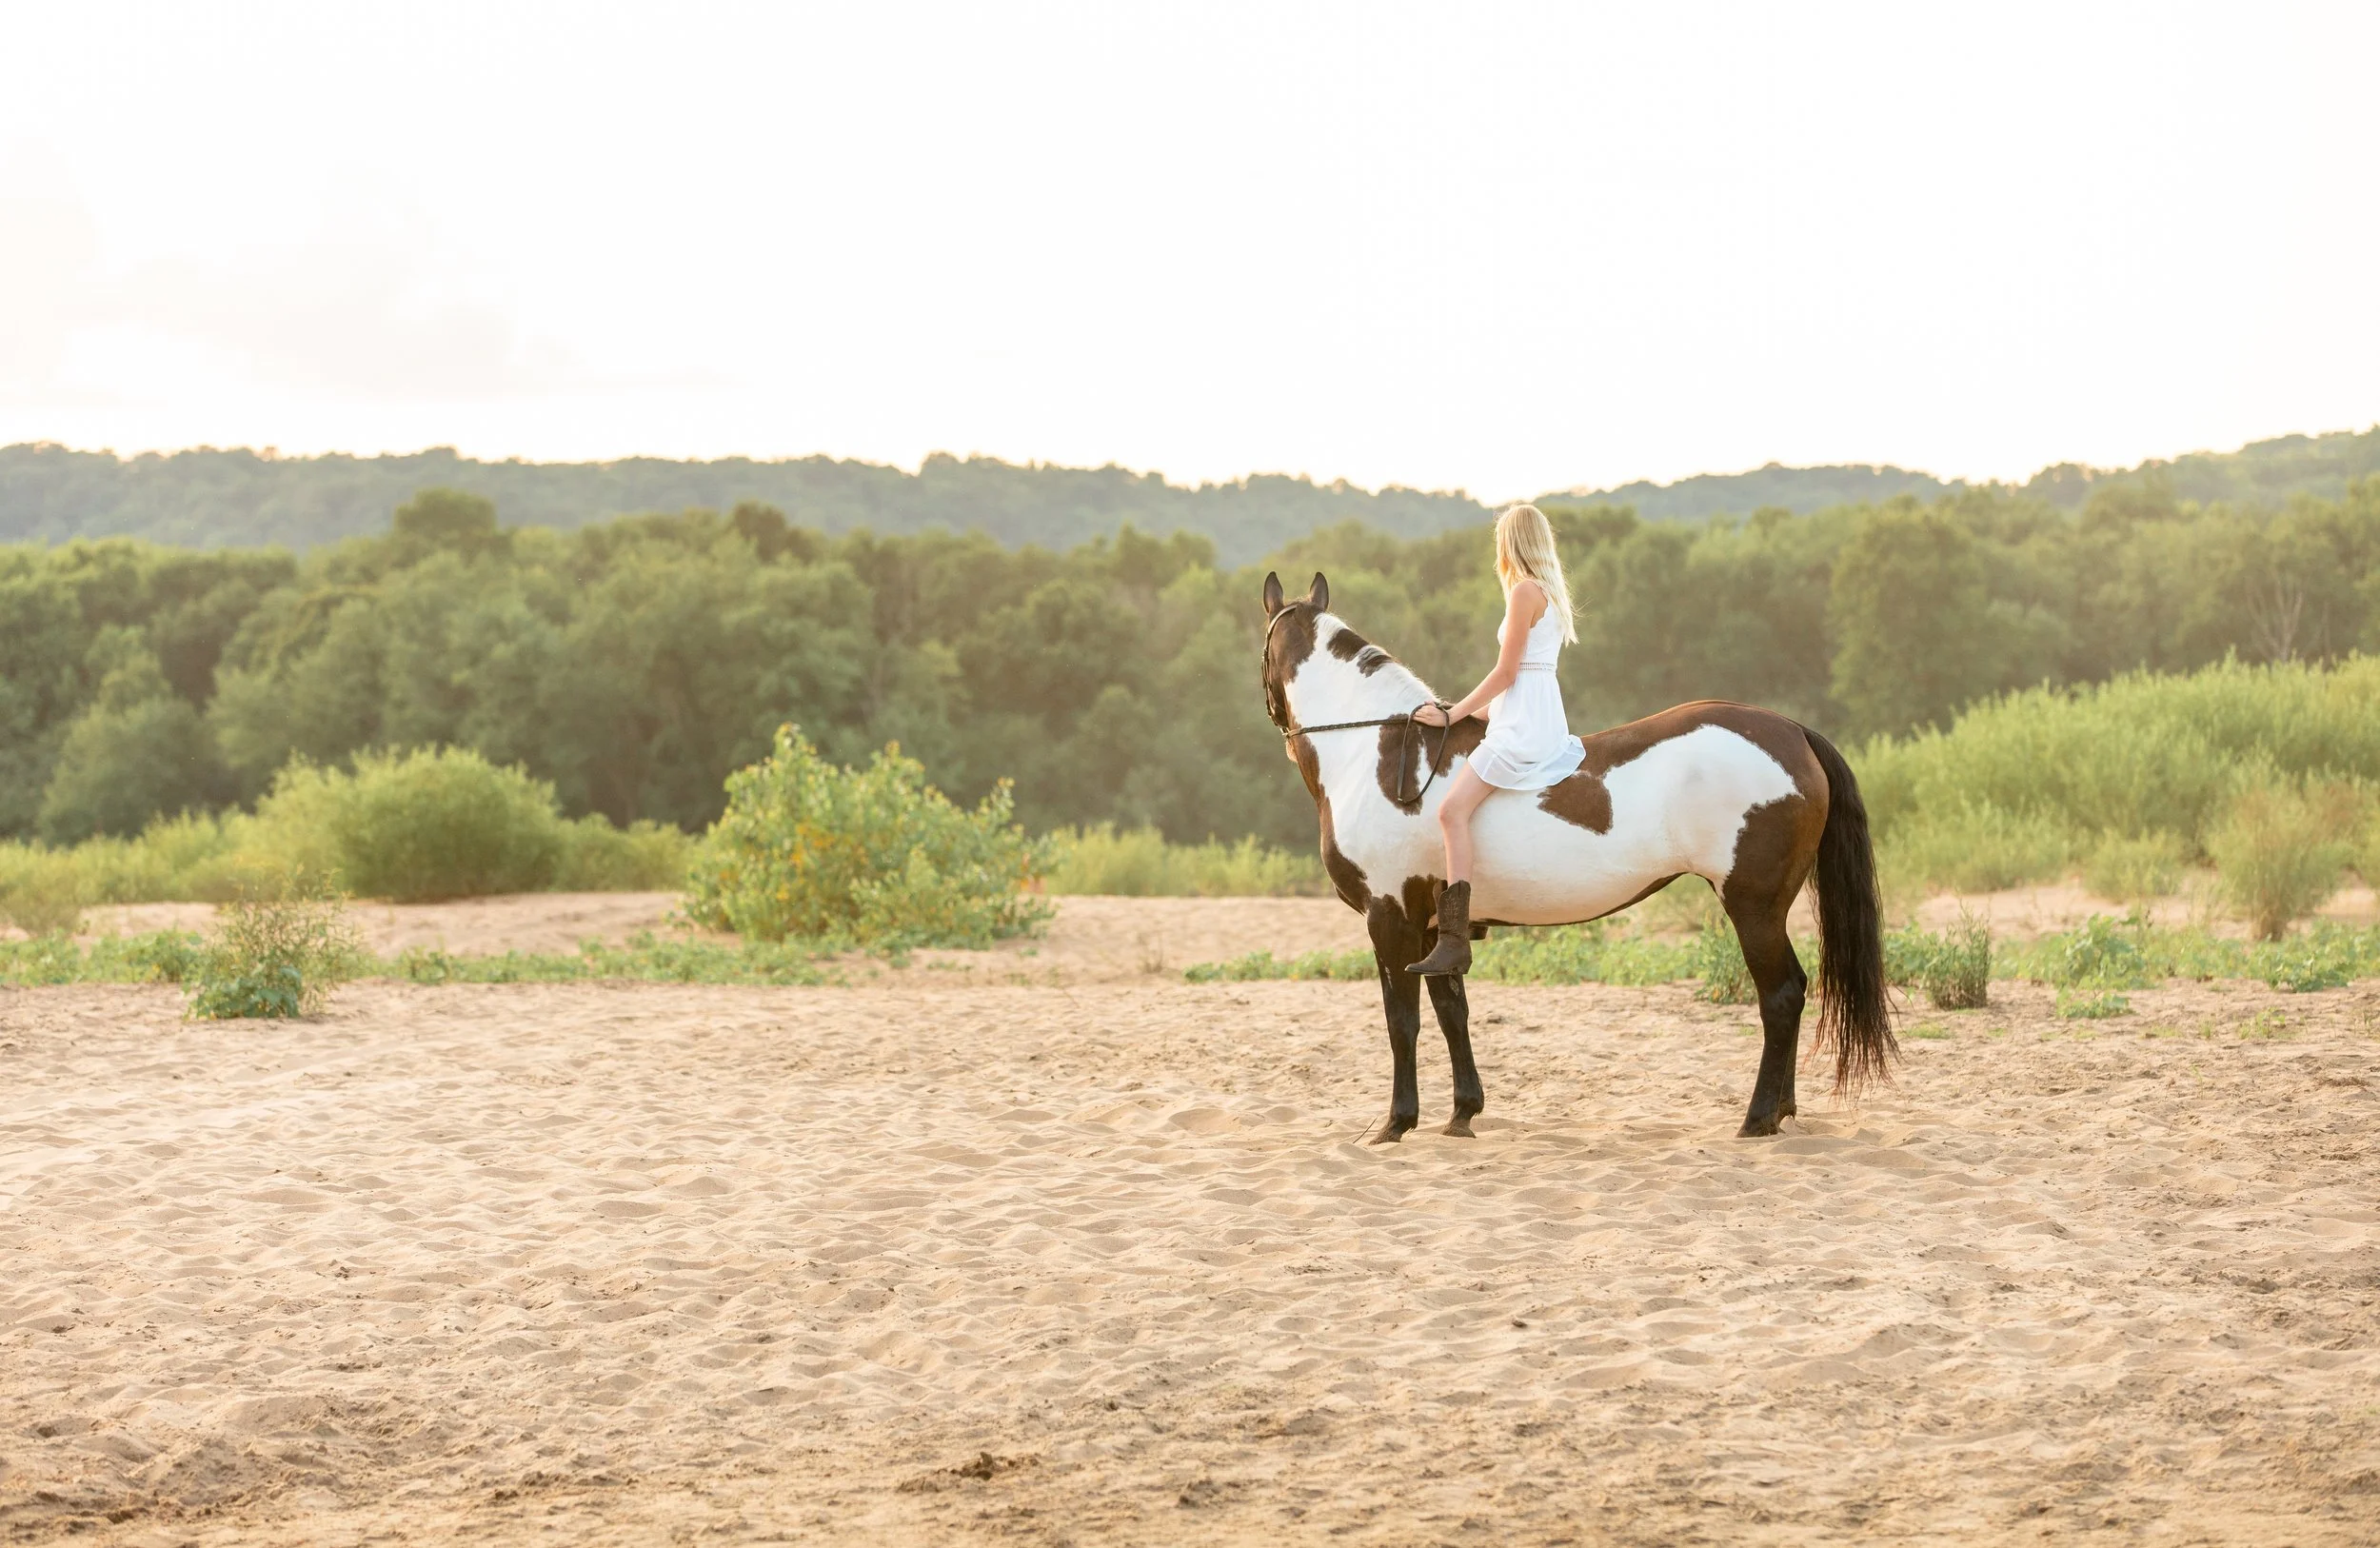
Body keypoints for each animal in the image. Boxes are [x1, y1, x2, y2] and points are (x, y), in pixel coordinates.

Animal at [1258, 570, 1894, 1142]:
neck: (1379, 752)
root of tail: (1789, 731)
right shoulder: (1435, 928)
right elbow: (1451, 1013)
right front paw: (1462, 1114)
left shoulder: (1390, 918)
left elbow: (1402, 1022)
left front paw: (1396, 1123)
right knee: (1795, 992)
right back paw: (1781, 1113)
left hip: (1753, 906)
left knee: (1780, 995)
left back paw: (1758, 1119)